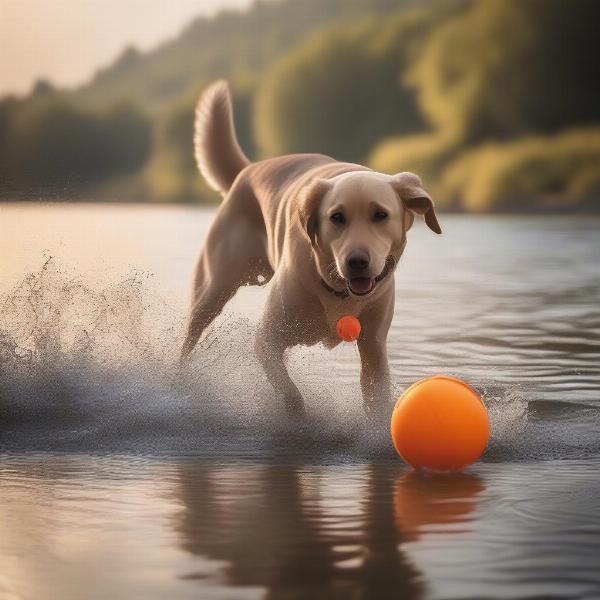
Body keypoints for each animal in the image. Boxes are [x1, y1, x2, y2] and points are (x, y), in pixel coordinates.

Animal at [179, 81, 440, 418]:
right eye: (336, 217)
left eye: (380, 215)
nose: (357, 261)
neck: (338, 291)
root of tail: (249, 170)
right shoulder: (267, 340)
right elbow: (291, 394)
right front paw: (301, 418)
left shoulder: (374, 348)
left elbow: (376, 399)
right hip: (213, 289)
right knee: (191, 334)